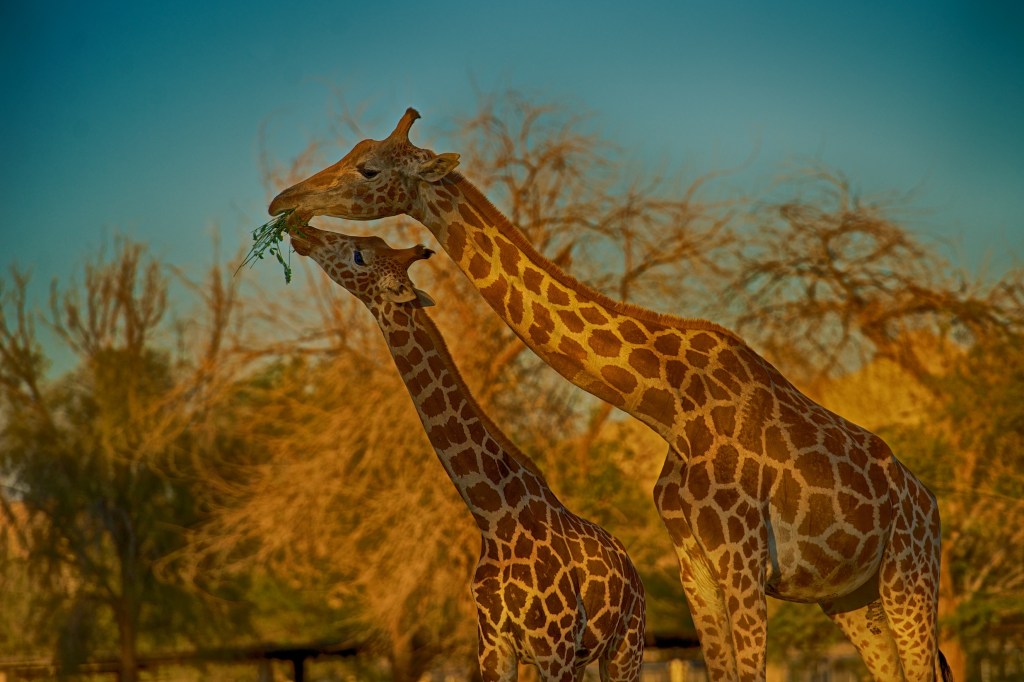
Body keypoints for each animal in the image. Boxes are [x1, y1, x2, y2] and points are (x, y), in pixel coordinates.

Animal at [288, 225, 645, 681]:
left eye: (358, 256)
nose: (304, 233)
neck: (493, 516)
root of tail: (631, 568)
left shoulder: (555, 649)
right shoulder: (493, 647)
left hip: (624, 647)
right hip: (587, 657)